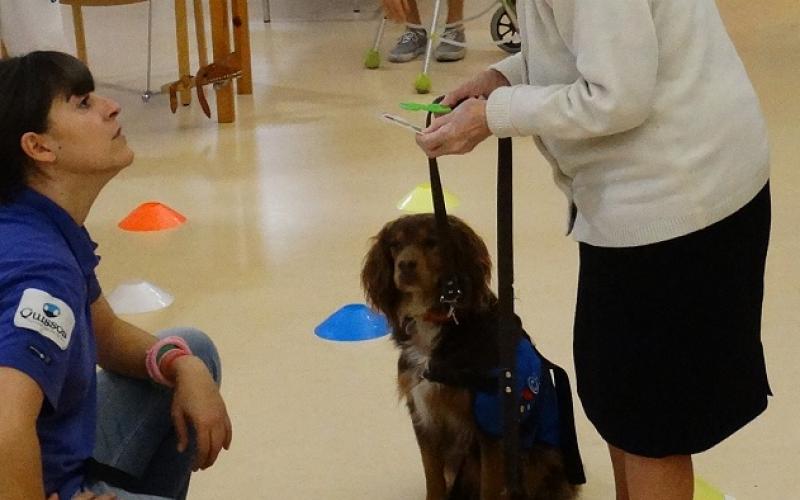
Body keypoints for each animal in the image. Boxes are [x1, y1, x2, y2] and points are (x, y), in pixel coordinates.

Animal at [360, 214, 576, 500]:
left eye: (432, 242)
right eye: (394, 245)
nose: (405, 265)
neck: (438, 321)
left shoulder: (490, 426)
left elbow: (489, 487)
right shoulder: (424, 415)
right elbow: (434, 479)